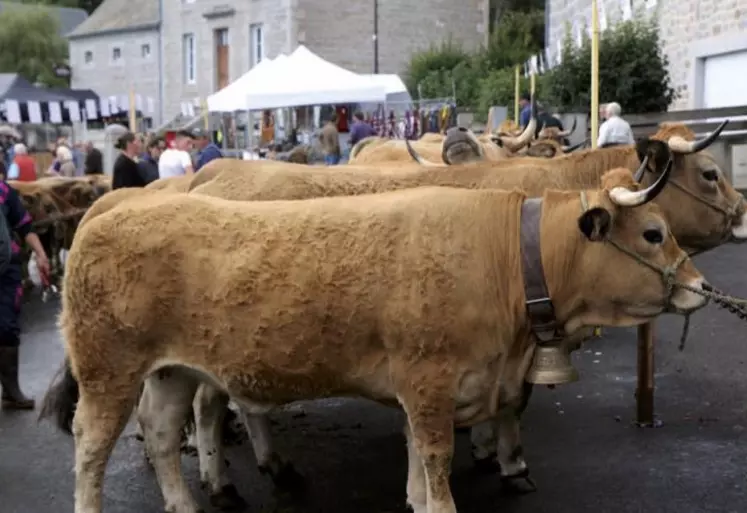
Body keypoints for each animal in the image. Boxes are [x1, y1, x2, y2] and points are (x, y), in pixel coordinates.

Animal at [41, 165, 708, 512]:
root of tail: (110, 213)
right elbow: (435, 467)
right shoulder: (431, 382)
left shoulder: (425, 386)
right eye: (653, 233)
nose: (700, 286)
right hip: (108, 372)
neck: (506, 258)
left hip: (172, 371)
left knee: (159, 435)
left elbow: (416, 462)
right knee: (91, 451)